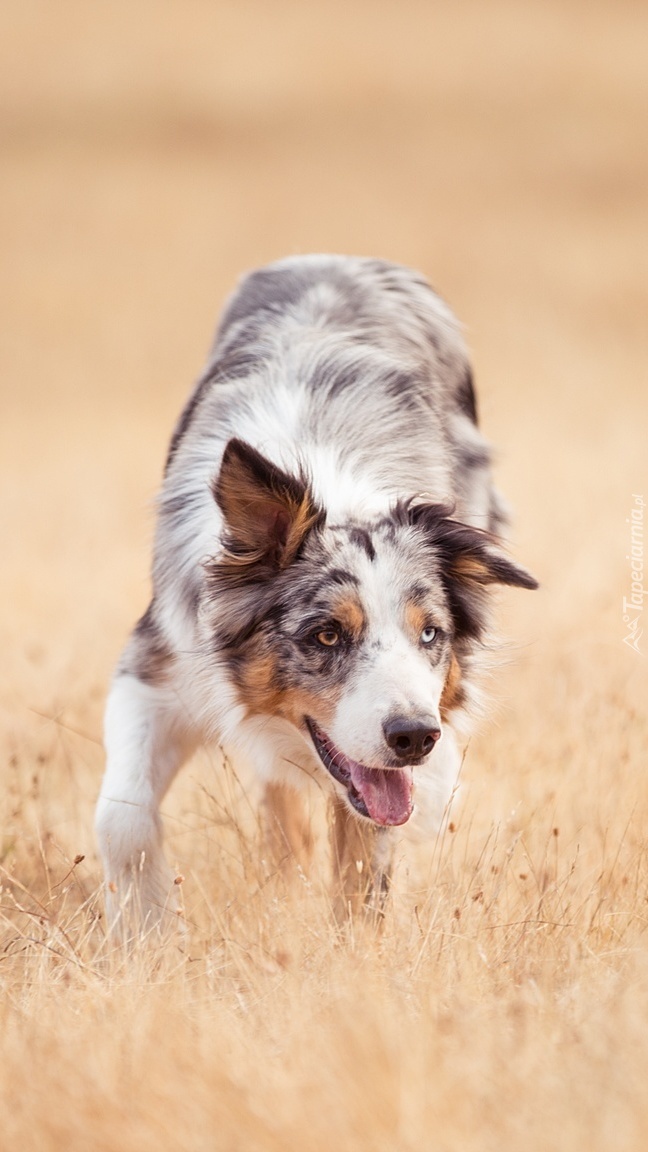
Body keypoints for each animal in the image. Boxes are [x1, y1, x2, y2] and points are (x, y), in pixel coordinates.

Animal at [94, 254, 535, 935]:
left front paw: (352, 950)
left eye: (430, 633)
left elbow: (362, 870)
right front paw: (148, 933)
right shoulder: (159, 667)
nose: (416, 737)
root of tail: (343, 256)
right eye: (326, 635)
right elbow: (122, 817)